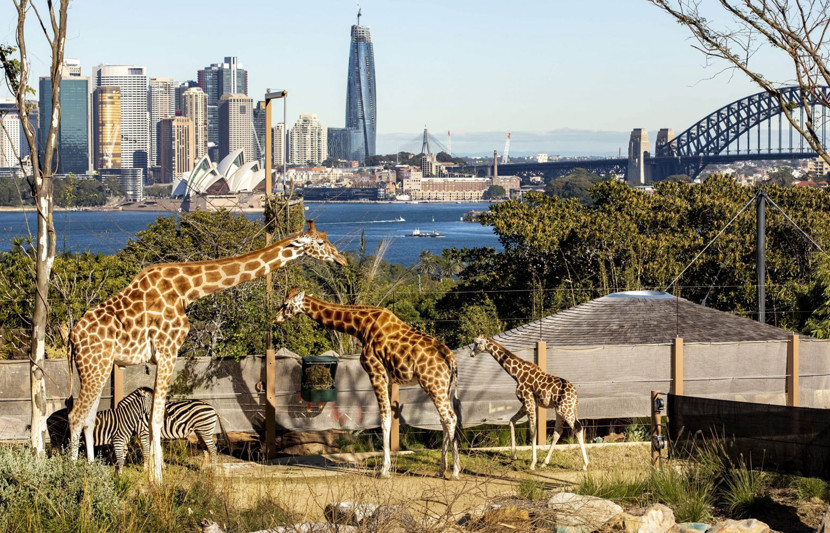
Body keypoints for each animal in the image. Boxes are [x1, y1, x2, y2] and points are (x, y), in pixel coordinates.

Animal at [66, 220, 348, 482]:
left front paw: (154, 474)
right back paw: (72, 476)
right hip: (95, 365)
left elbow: (152, 417)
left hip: (98, 367)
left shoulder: (161, 355)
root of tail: (72, 336)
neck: (186, 289)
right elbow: (155, 418)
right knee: (75, 416)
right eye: (320, 243)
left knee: (88, 417)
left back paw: (90, 471)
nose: (341, 259)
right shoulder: (168, 350)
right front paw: (157, 481)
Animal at [278, 288, 462, 480]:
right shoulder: (388, 378)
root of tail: (451, 361)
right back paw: (441, 470)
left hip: (433, 384)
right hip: (443, 387)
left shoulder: (375, 372)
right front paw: (387, 468)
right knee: (445, 419)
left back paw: (455, 472)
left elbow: (384, 419)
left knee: (450, 418)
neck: (361, 326)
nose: (276, 319)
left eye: (285, 304)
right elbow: (389, 416)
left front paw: (384, 470)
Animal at [472, 336, 588, 470]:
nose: (471, 354)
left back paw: (585, 465)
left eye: (476, 343)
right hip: (560, 410)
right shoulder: (526, 403)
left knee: (577, 428)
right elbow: (511, 421)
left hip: (565, 409)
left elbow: (533, 431)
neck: (516, 374)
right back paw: (544, 463)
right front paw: (513, 456)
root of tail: (576, 395)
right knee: (558, 432)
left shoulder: (528, 401)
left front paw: (532, 463)